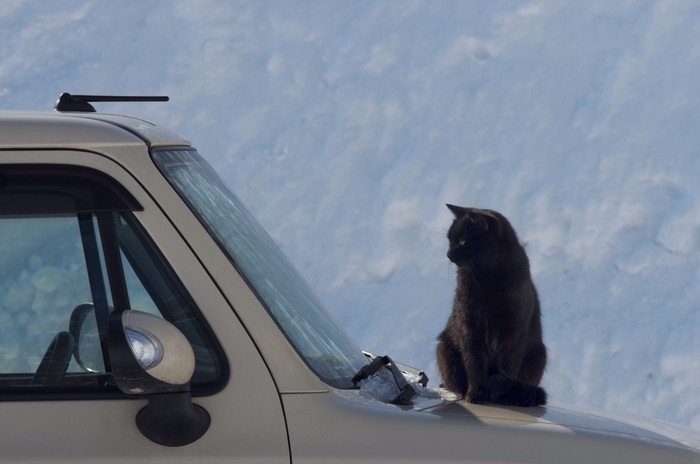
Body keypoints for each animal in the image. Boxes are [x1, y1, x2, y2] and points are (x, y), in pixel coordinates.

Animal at [438, 204, 548, 406]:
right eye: (450, 240)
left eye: (463, 241)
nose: (448, 254)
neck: (489, 278)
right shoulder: (469, 326)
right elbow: (475, 363)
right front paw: (476, 394)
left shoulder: (513, 329)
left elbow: (508, 364)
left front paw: (501, 388)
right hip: (445, 349)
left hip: (539, 354)